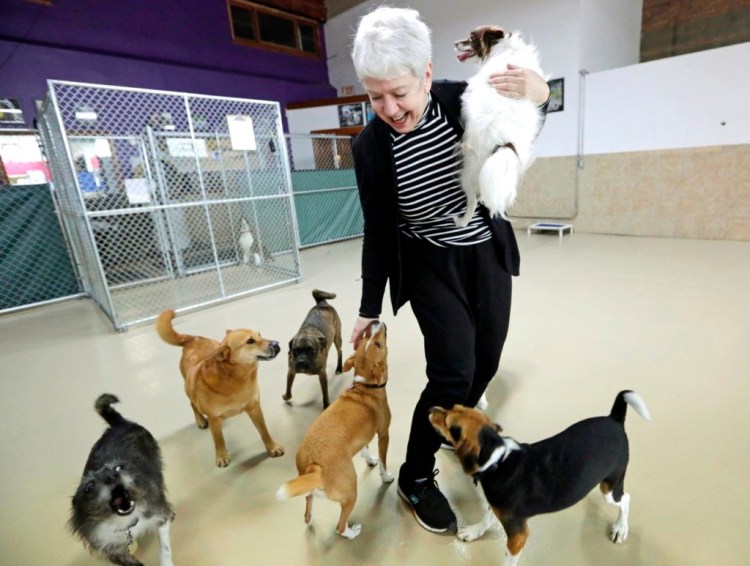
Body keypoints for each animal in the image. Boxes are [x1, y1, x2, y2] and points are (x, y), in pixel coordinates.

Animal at [157, 312, 286, 468]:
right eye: (250, 341)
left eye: (259, 334)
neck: (235, 379)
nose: (276, 344)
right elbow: (218, 440)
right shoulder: (214, 418)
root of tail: (193, 339)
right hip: (189, 387)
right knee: (193, 404)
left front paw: (272, 447)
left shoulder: (255, 408)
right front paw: (221, 456)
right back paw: (200, 419)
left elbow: (264, 431)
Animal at [276, 322, 394, 540]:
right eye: (377, 344)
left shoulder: (363, 435)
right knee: (339, 526)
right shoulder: (383, 434)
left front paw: (369, 459)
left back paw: (311, 519)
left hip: (311, 493)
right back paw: (352, 532)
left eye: (366, 340)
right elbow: (383, 462)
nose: (374, 322)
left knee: (307, 513)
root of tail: (315, 467)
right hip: (351, 490)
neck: (365, 386)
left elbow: (365, 448)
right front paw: (386, 476)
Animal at [428, 392, 652, 564]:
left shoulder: (518, 535)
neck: (497, 460)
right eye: (453, 406)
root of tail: (615, 419)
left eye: (448, 423)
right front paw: (474, 532)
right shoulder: (498, 506)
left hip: (610, 486)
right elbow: (487, 517)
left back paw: (620, 529)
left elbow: (508, 559)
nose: (430, 408)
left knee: (625, 499)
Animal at [452, 25, 548, 227]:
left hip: (467, 172)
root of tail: (503, 143)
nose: (455, 43)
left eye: (471, 38)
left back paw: (461, 221)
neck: (503, 47)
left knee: (472, 200)